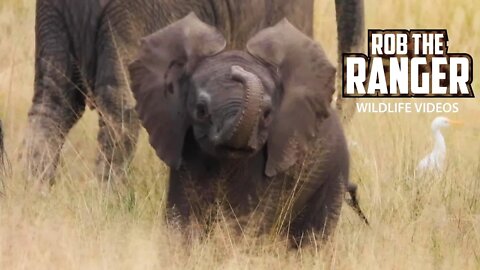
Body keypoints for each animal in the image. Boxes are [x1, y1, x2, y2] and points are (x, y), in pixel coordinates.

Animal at [131, 13, 352, 245]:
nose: (238, 72)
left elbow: (246, 221)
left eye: (267, 114)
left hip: (334, 172)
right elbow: (183, 214)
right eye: (201, 110)